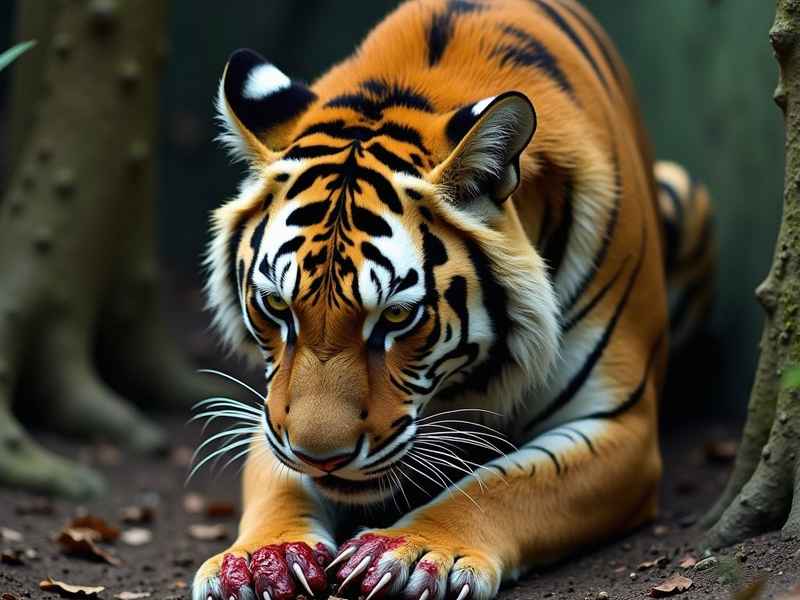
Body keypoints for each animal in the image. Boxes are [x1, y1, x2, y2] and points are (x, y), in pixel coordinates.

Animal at [193, 1, 715, 599]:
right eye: (277, 307)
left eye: (397, 316)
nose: (321, 459)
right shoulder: (273, 407)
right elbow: (277, 477)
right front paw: (265, 558)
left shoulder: (621, 424)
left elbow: (503, 486)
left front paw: (411, 550)